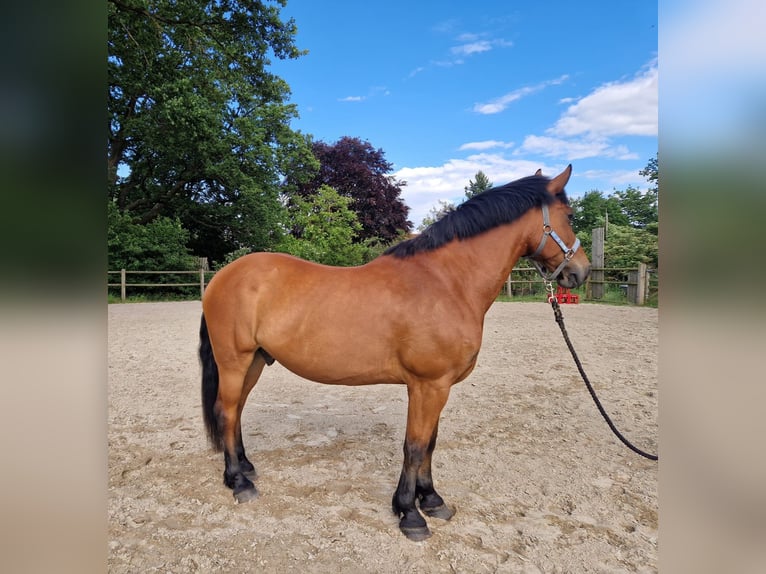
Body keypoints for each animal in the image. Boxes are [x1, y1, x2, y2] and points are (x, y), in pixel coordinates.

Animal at [199, 164, 591, 541]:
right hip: (234, 361)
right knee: (227, 411)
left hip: (255, 361)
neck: (446, 282)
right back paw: (239, 483)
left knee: (235, 411)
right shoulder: (427, 385)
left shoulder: (438, 387)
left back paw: (245, 468)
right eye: (570, 215)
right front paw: (410, 514)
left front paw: (431, 500)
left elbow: (430, 443)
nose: (580, 271)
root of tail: (222, 276)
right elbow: (414, 446)